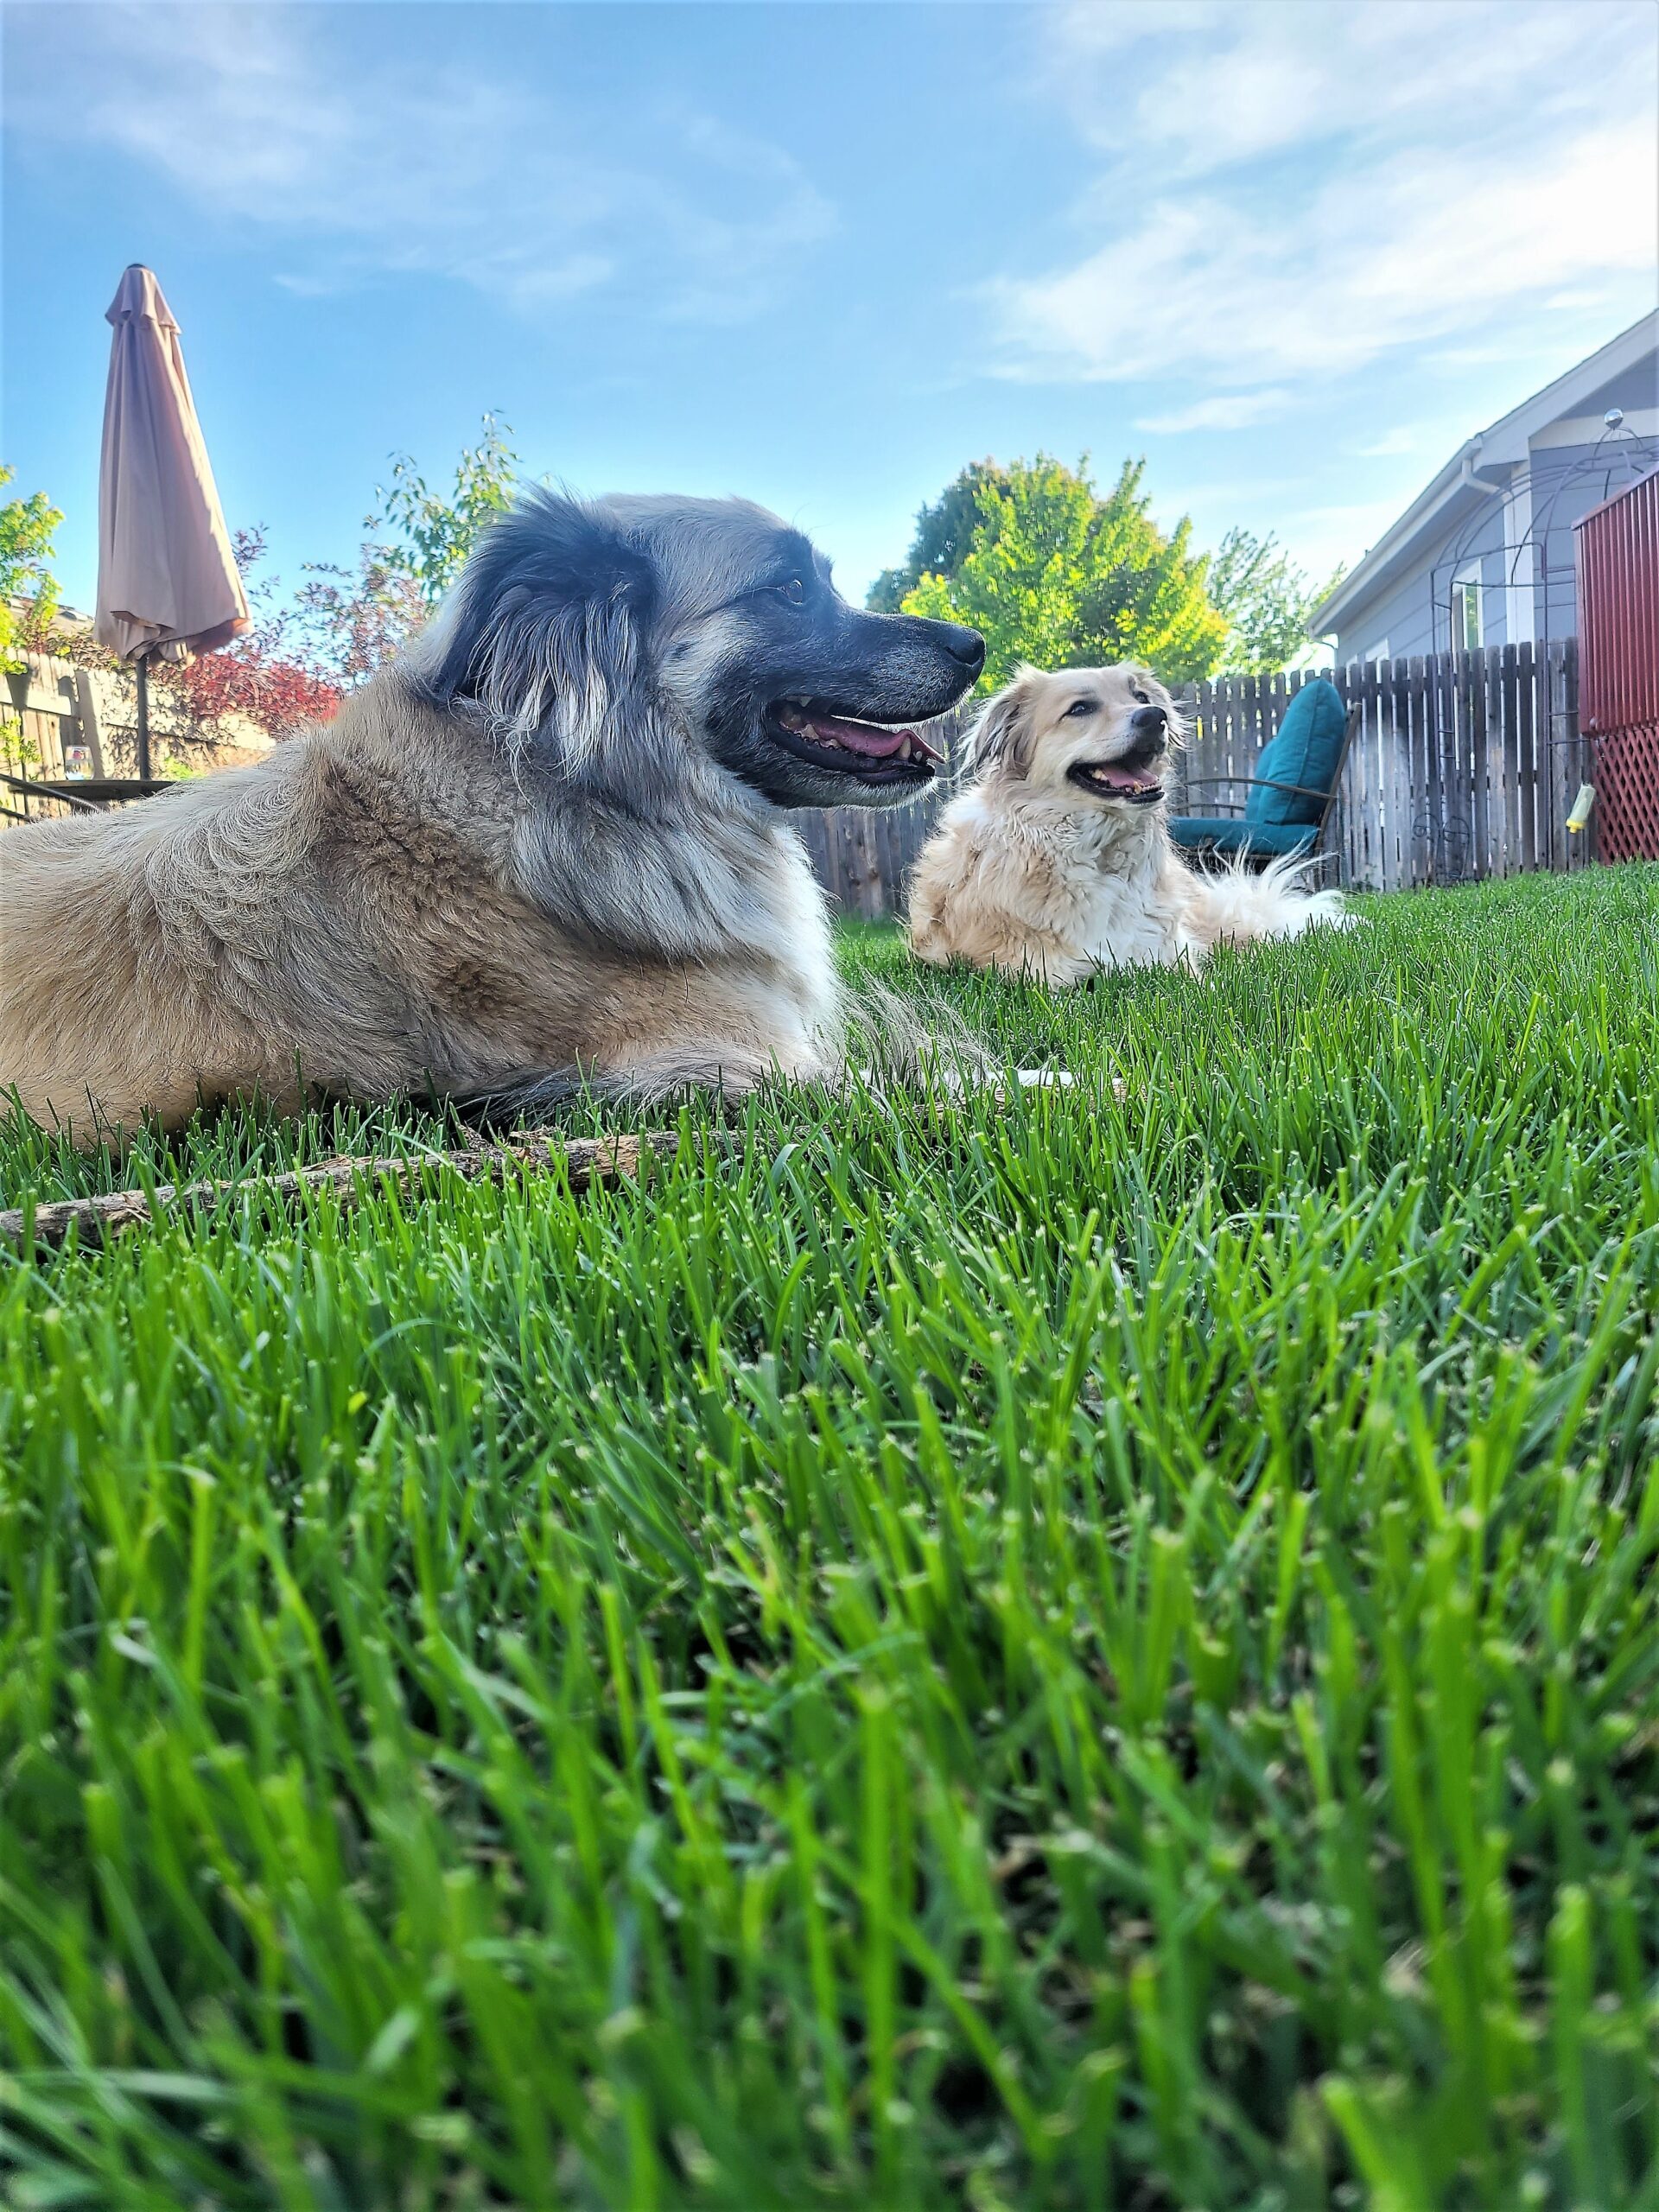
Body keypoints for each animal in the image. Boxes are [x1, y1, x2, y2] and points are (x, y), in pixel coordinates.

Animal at [911, 658, 1353, 990]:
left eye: (1138, 696)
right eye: (1080, 708)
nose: (1155, 717)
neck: (1099, 851)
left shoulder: (1170, 953)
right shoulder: (1037, 972)